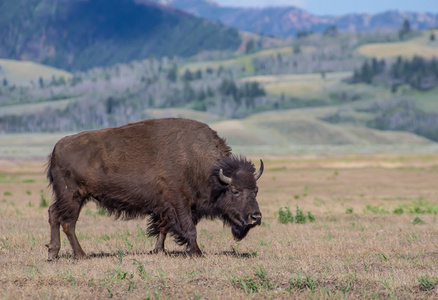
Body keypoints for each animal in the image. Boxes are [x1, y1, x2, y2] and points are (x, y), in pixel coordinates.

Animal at [44, 118, 264, 258]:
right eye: (235, 191)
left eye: (256, 190)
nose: (256, 217)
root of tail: (56, 148)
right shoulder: (179, 201)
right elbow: (189, 228)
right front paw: (197, 253)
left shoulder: (165, 206)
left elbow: (163, 228)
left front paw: (158, 250)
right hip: (72, 196)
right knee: (68, 223)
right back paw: (81, 255)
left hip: (69, 197)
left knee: (53, 213)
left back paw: (53, 253)